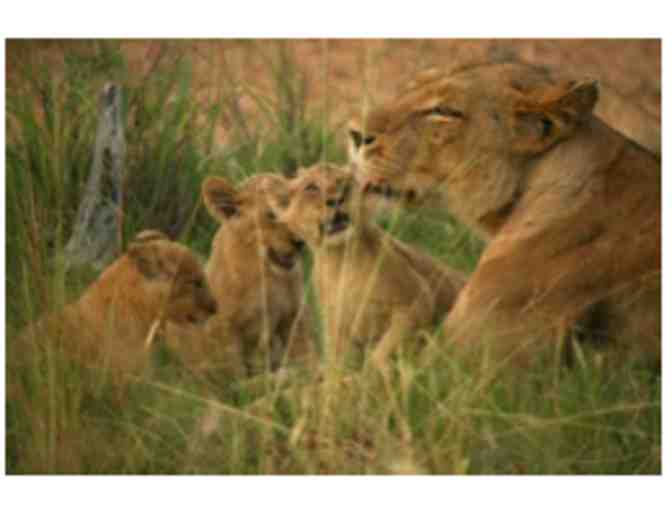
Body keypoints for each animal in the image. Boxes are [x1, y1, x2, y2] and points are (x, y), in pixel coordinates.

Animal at [190, 173, 316, 376]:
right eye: (272, 214)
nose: (300, 242)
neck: (265, 275)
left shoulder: (294, 317)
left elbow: (306, 356)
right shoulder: (224, 326)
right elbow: (236, 369)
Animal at [274, 163, 466, 369]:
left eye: (344, 183)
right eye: (311, 187)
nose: (336, 199)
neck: (340, 261)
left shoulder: (418, 302)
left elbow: (382, 350)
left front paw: (378, 370)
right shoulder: (336, 330)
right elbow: (337, 366)